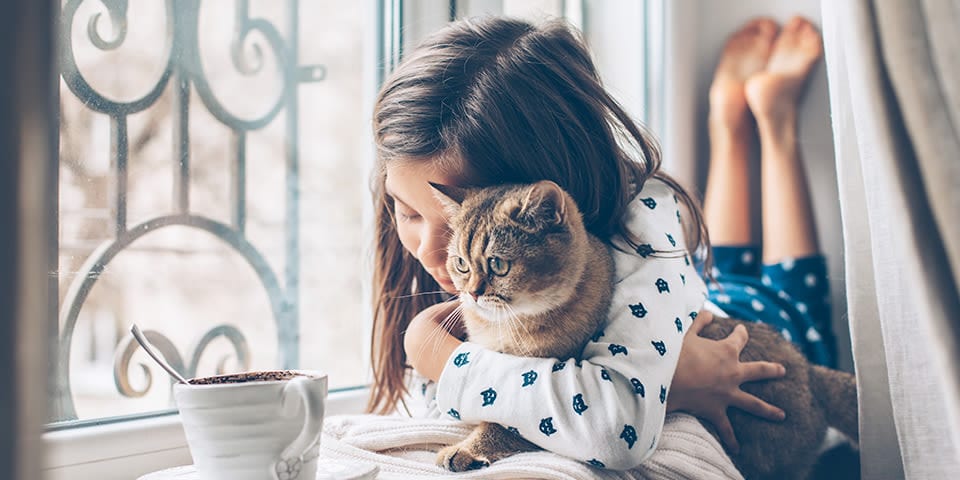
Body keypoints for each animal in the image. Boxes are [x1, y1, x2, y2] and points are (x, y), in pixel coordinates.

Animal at [432, 181, 860, 480]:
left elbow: (504, 424)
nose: (471, 293)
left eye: (498, 265)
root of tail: (809, 371)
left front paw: (466, 449)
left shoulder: (548, 389)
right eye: (461, 263)